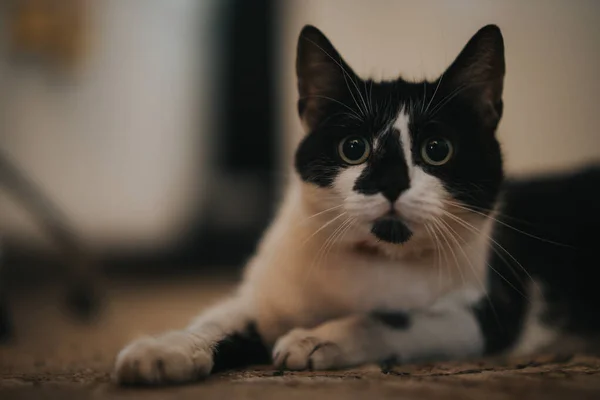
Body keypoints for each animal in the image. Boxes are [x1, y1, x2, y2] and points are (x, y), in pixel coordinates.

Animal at [113, 22, 600, 384]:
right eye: (353, 148)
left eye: (437, 150)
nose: (390, 183)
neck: (370, 261)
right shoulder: (265, 298)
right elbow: (219, 320)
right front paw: (165, 348)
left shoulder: (488, 314)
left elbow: (393, 319)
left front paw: (315, 339)